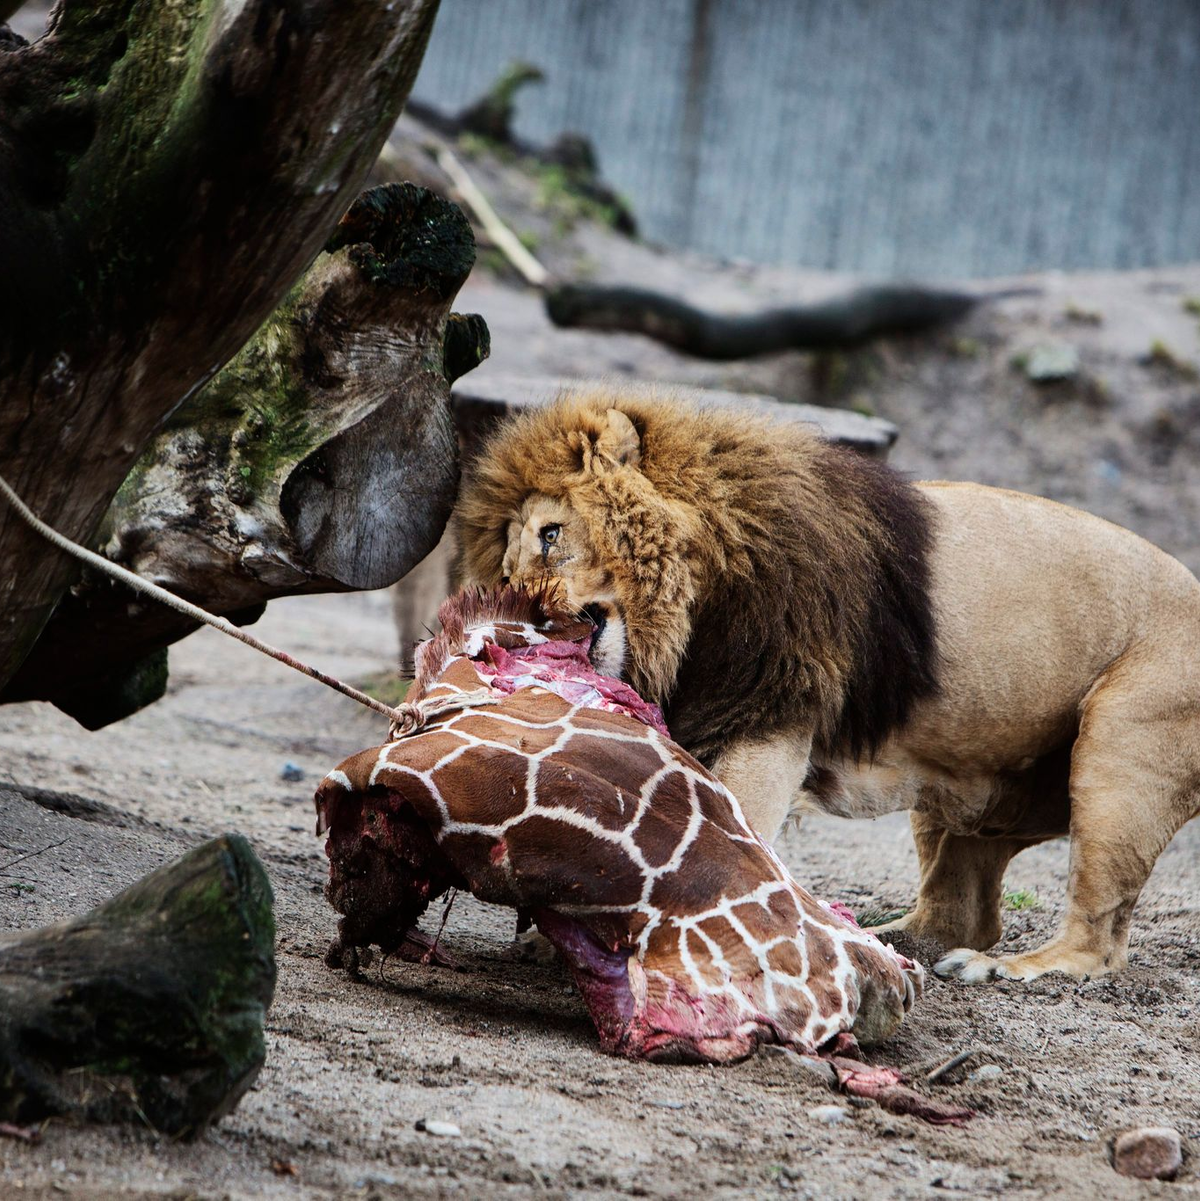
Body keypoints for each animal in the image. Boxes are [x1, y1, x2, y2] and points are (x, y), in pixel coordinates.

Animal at [454, 387, 1200, 986]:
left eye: (552, 535)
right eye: (509, 573)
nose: (527, 616)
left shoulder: (771, 713)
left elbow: (733, 828)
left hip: (1120, 752)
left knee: (1096, 940)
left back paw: (1007, 967)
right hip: (970, 781)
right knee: (960, 911)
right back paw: (886, 938)